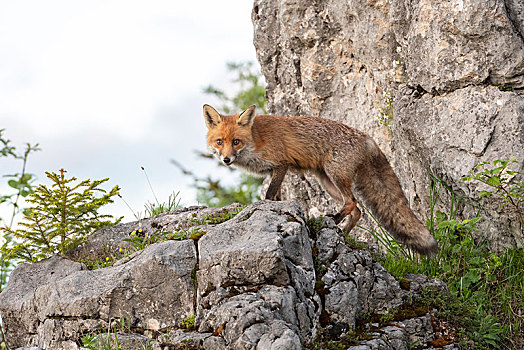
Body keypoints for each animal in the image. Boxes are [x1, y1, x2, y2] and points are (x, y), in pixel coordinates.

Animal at [204, 104, 438, 258]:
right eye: (219, 142)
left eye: (236, 141)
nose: (226, 159)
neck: (255, 139)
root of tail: (367, 138)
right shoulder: (273, 171)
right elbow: (276, 197)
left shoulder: (281, 164)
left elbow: (270, 194)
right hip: (327, 183)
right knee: (358, 210)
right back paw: (342, 233)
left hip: (335, 175)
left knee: (352, 201)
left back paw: (334, 220)